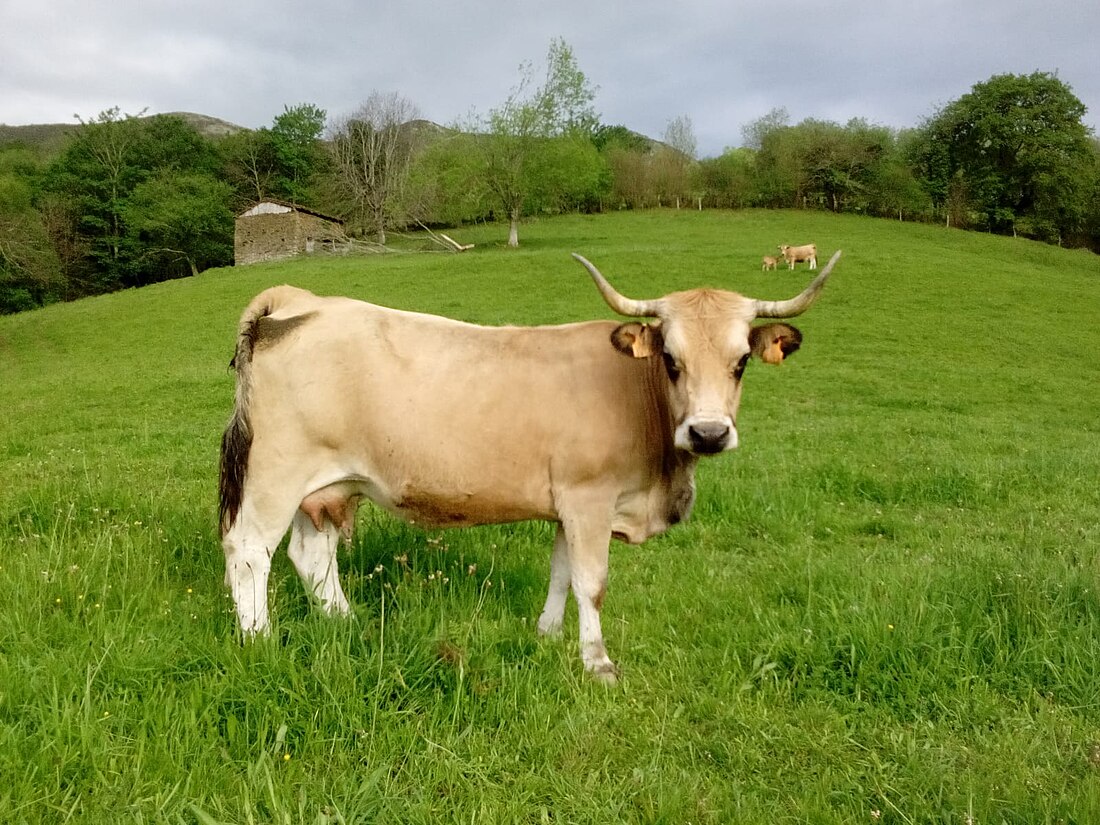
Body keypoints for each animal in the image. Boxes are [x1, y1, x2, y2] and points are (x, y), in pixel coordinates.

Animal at [221, 251, 840, 686]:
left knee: (311, 556)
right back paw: (258, 641)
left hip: (328, 486)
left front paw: (546, 636)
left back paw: (344, 623)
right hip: (278, 473)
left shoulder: (568, 502)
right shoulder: (590, 499)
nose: (708, 433)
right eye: (671, 358)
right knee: (249, 551)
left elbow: (562, 573)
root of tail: (302, 300)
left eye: (742, 362)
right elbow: (592, 582)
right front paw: (597, 663)